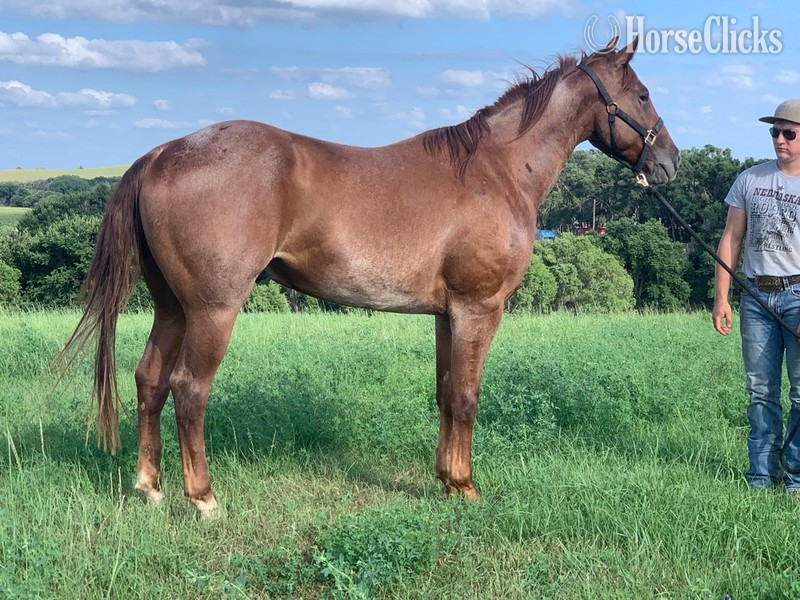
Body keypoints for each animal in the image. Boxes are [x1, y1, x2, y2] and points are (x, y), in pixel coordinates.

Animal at [62, 36, 679, 518]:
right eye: (643, 94)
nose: (669, 162)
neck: (497, 169)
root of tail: (163, 153)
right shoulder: (480, 307)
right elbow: (468, 395)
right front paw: (467, 487)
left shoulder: (447, 314)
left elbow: (446, 391)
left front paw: (446, 480)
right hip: (213, 311)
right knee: (190, 389)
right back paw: (203, 498)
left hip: (172, 308)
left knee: (149, 381)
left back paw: (151, 487)